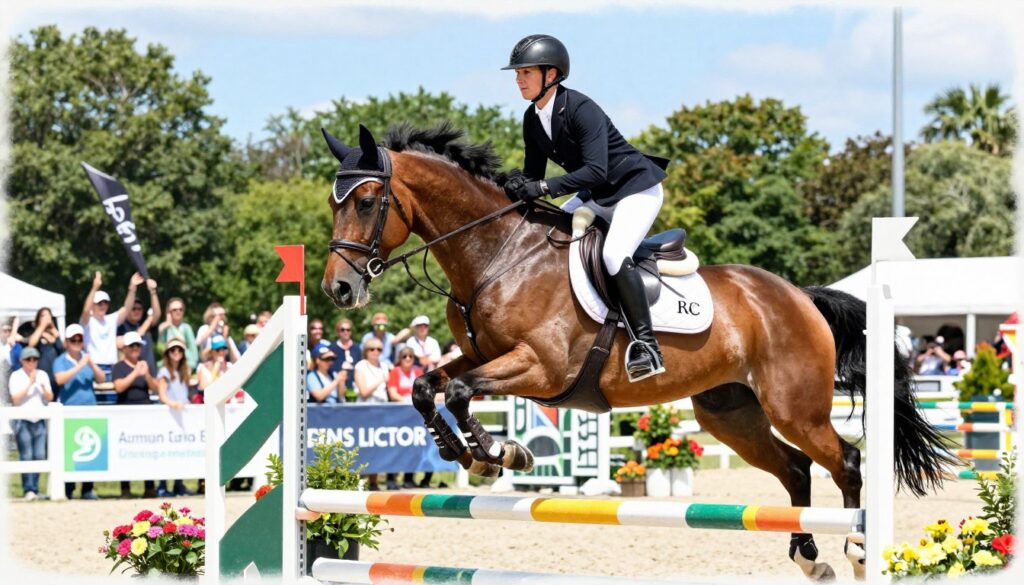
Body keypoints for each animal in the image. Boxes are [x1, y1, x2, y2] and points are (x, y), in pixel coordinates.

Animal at [318, 123, 953, 580]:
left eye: (368, 201)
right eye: (333, 202)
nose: (339, 290)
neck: (498, 254)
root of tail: (799, 295)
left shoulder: (542, 368)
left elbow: (456, 391)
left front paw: (500, 452)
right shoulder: (481, 356)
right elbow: (429, 387)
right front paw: (471, 454)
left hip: (794, 406)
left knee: (844, 462)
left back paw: (857, 548)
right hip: (730, 414)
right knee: (797, 469)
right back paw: (807, 555)